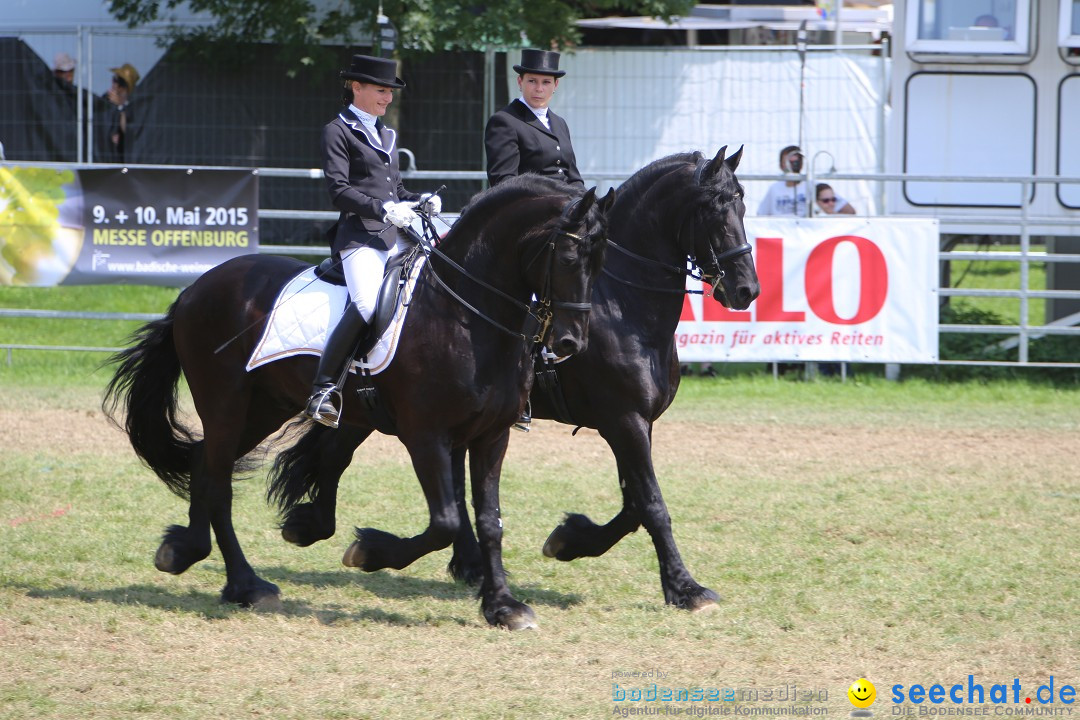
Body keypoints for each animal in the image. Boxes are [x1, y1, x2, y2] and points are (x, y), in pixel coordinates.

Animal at [104, 174, 613, 630]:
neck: (465, 316)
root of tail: (194, 289)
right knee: (218, 483)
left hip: (265, 406)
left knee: (203, 463)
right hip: (225, 402)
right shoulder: (425, 435)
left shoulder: (492, 435)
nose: (571, 343)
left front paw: (503, 607)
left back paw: (186, 553)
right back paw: (247, 585)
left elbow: (490, 522)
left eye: (601, 259)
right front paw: (368, 552)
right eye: (569, 255)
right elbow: (446, 522)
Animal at [268, 147, 760, 613]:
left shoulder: (638, 422)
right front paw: (684, 588)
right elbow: (651, 505)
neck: (621, 306)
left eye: (742, 205)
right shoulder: (623, 420)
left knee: (355, 457)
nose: (746, 291)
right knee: (345, 454)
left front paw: (570, 540)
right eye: (713, 209)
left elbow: (633, 506)